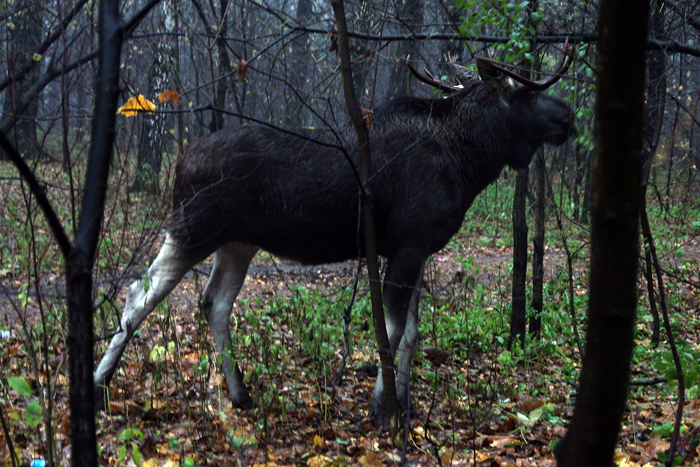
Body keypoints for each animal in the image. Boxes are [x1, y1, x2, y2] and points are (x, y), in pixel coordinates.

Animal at [95, 46, 575, 424]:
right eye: (528, 91)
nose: (569, 117)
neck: (469, 161)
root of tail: (180, 162)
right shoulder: (408, 245)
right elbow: (393, 331)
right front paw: (383, 410)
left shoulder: (416, 248)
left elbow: (412, 333)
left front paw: (406, 406)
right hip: (194, 225)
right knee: (140, 294)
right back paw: (100, 384)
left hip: (237, 242)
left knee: (214, 302)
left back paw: (240, 393)